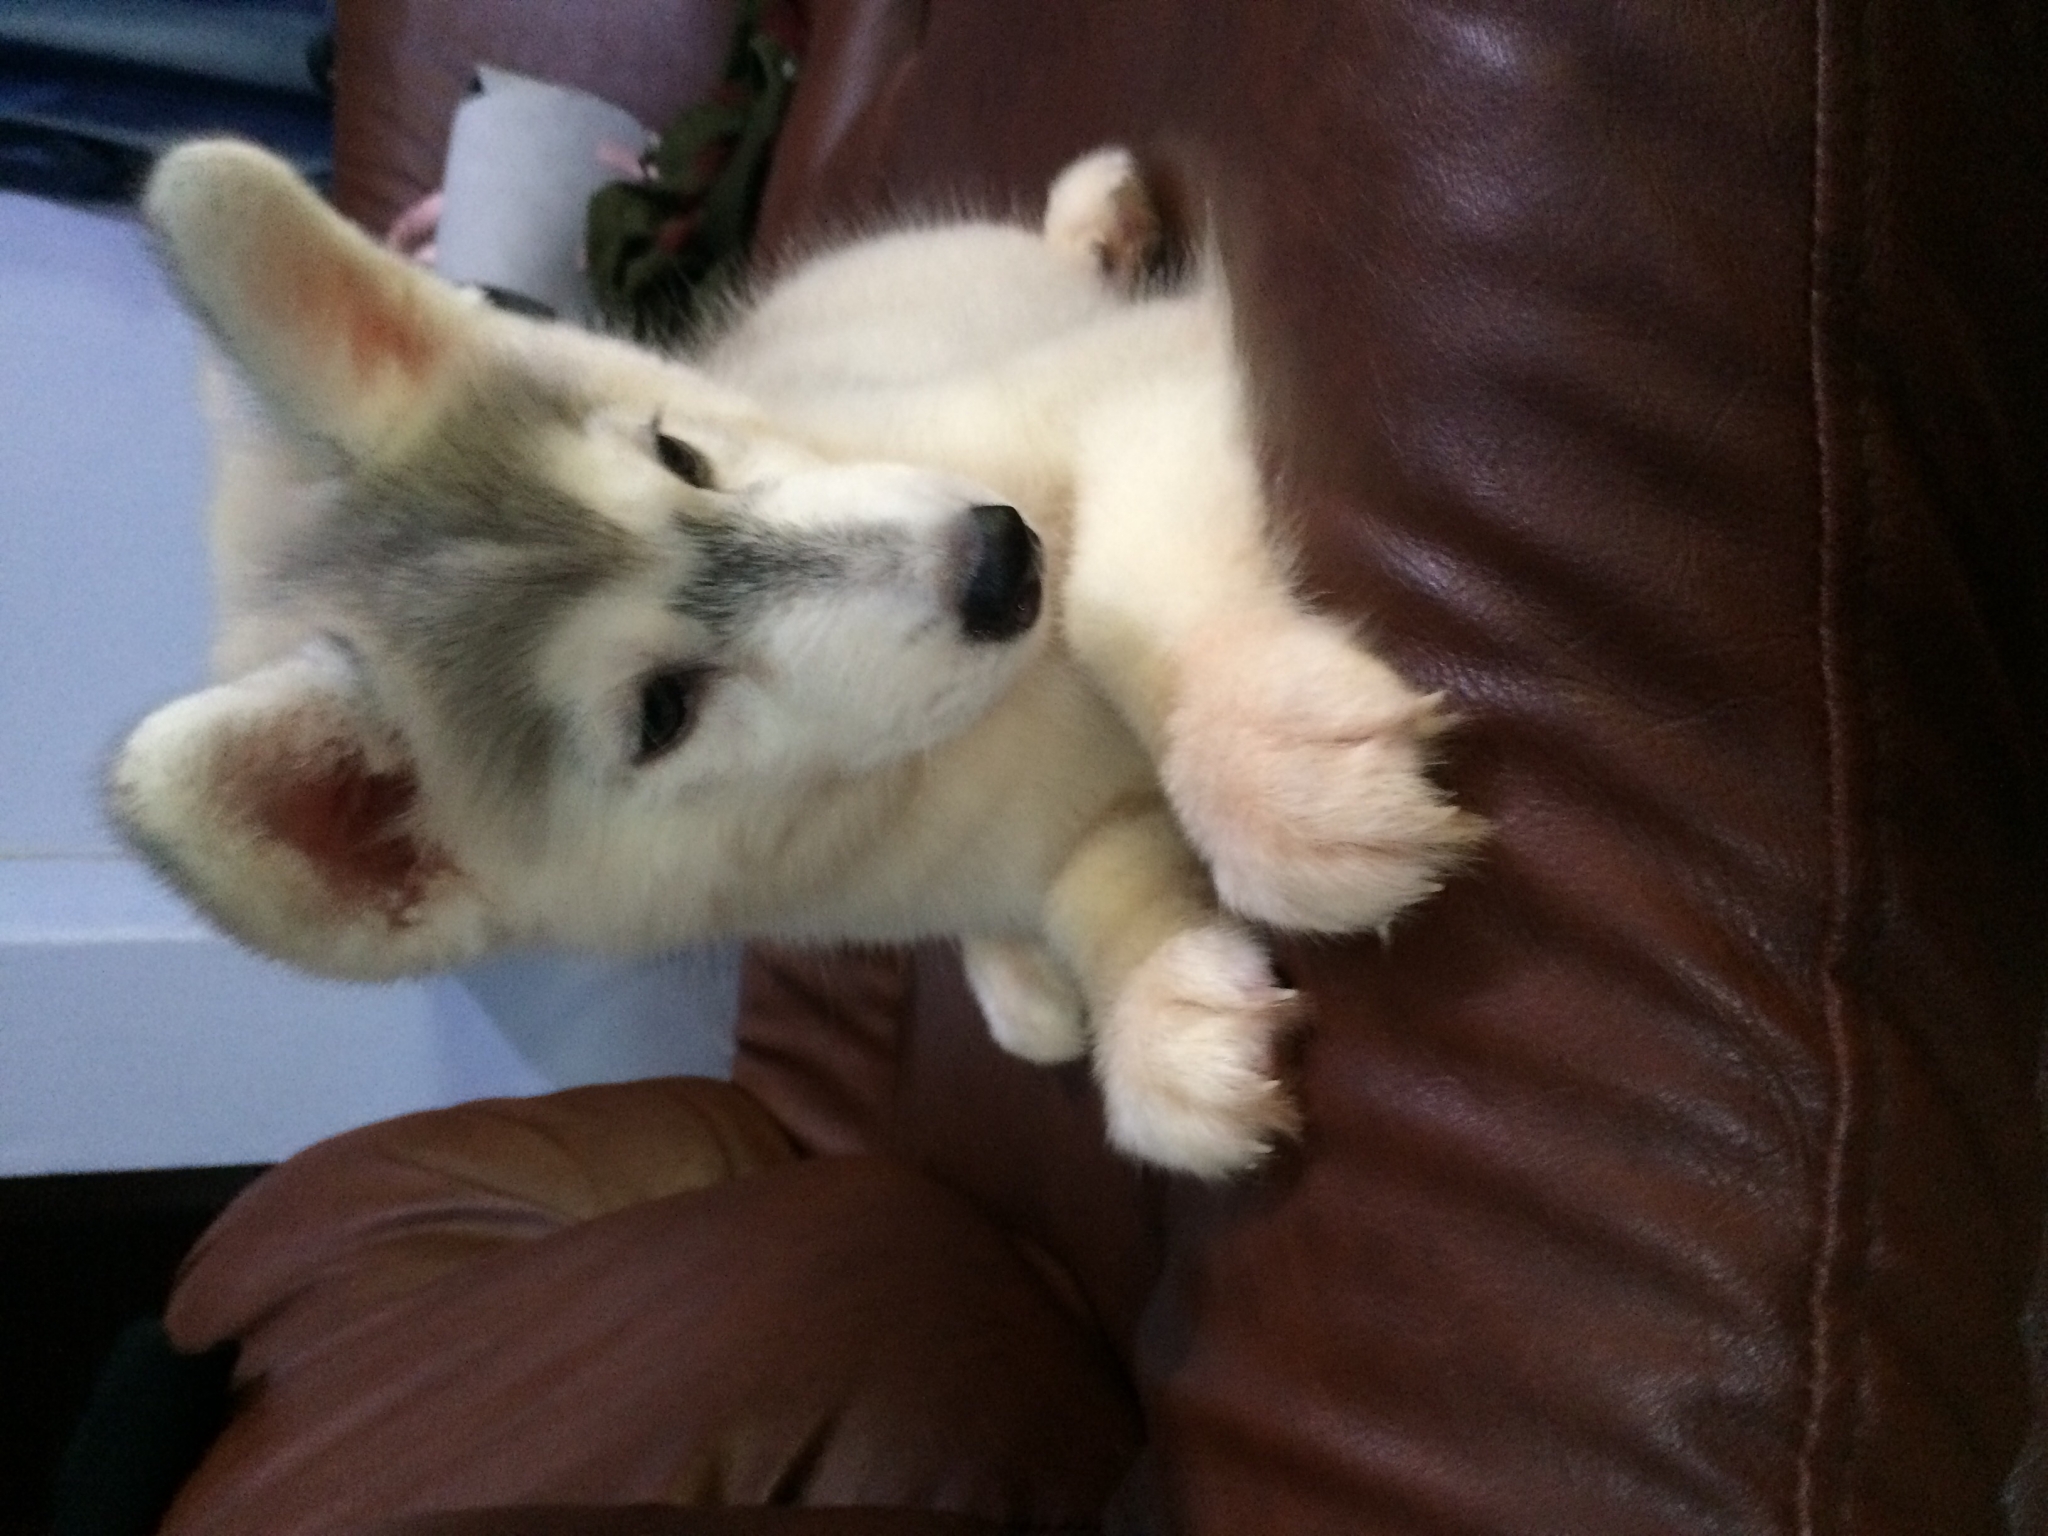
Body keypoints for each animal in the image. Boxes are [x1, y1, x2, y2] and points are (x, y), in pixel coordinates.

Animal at [107, 140, 1479, 1177]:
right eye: (661, 711)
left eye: (678, 456)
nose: (997, 560)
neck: (981, 730)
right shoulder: (982, 849)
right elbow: (1087, 878)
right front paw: (1158, 1010)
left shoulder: (1111, 379)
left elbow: (1108, 592)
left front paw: (1267, 770)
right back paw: (1024, 985)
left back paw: (1090, 223)